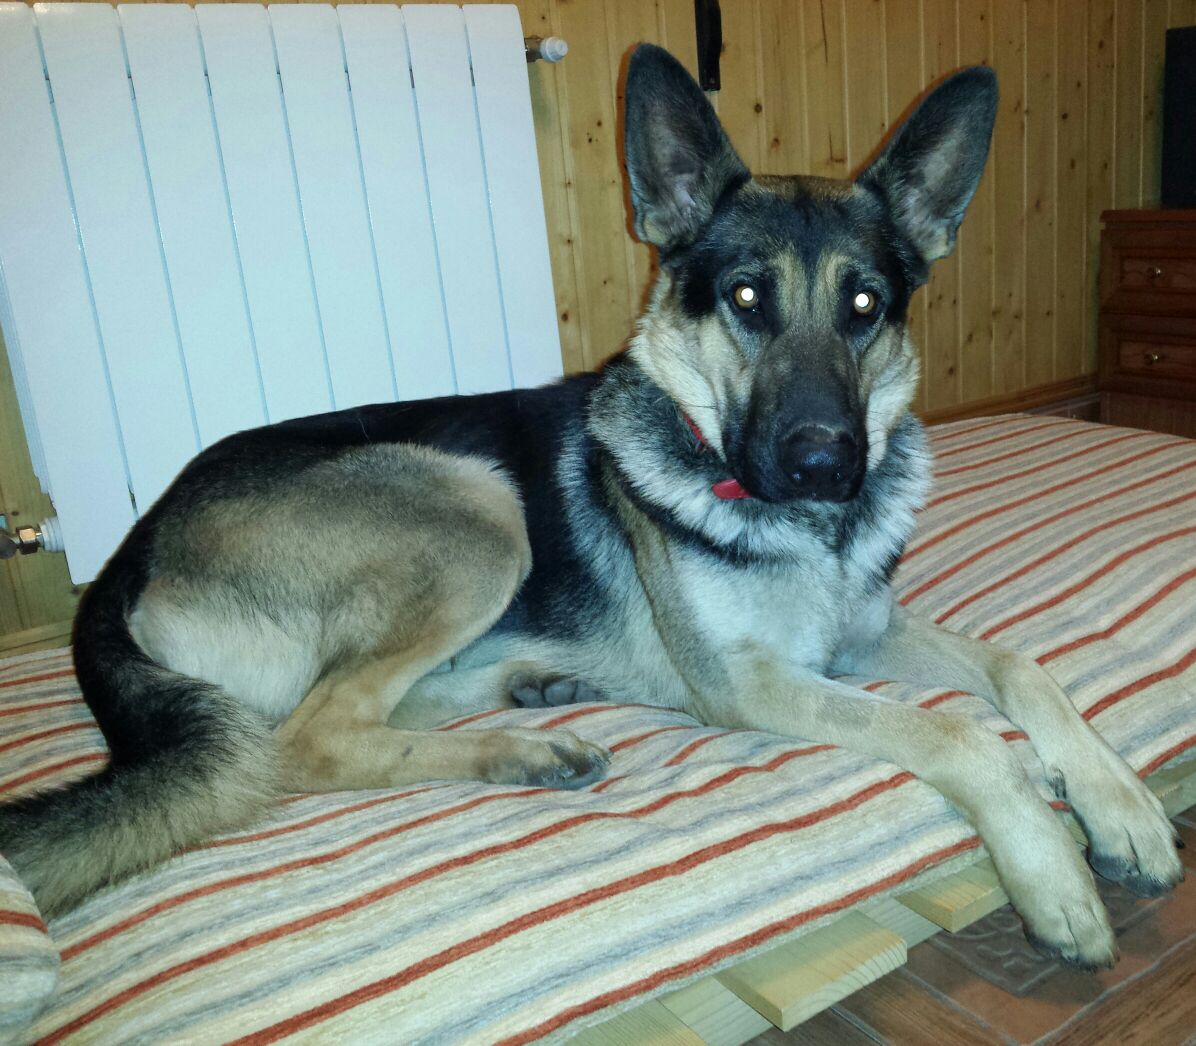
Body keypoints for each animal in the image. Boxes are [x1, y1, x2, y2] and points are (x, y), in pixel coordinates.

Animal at [0, 45, 1181, 967]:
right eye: (744, 297)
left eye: (864, 304)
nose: (823, 463)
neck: (809, 532)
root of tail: (128, 550)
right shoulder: (755, 683)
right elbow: (956, 734)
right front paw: (1052, 869)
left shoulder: (860, 636)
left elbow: (1022, 670)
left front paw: (1117, 802)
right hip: (474, 505)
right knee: (307, 740)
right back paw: (521, 749)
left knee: (358, 713)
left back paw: (535, 695)